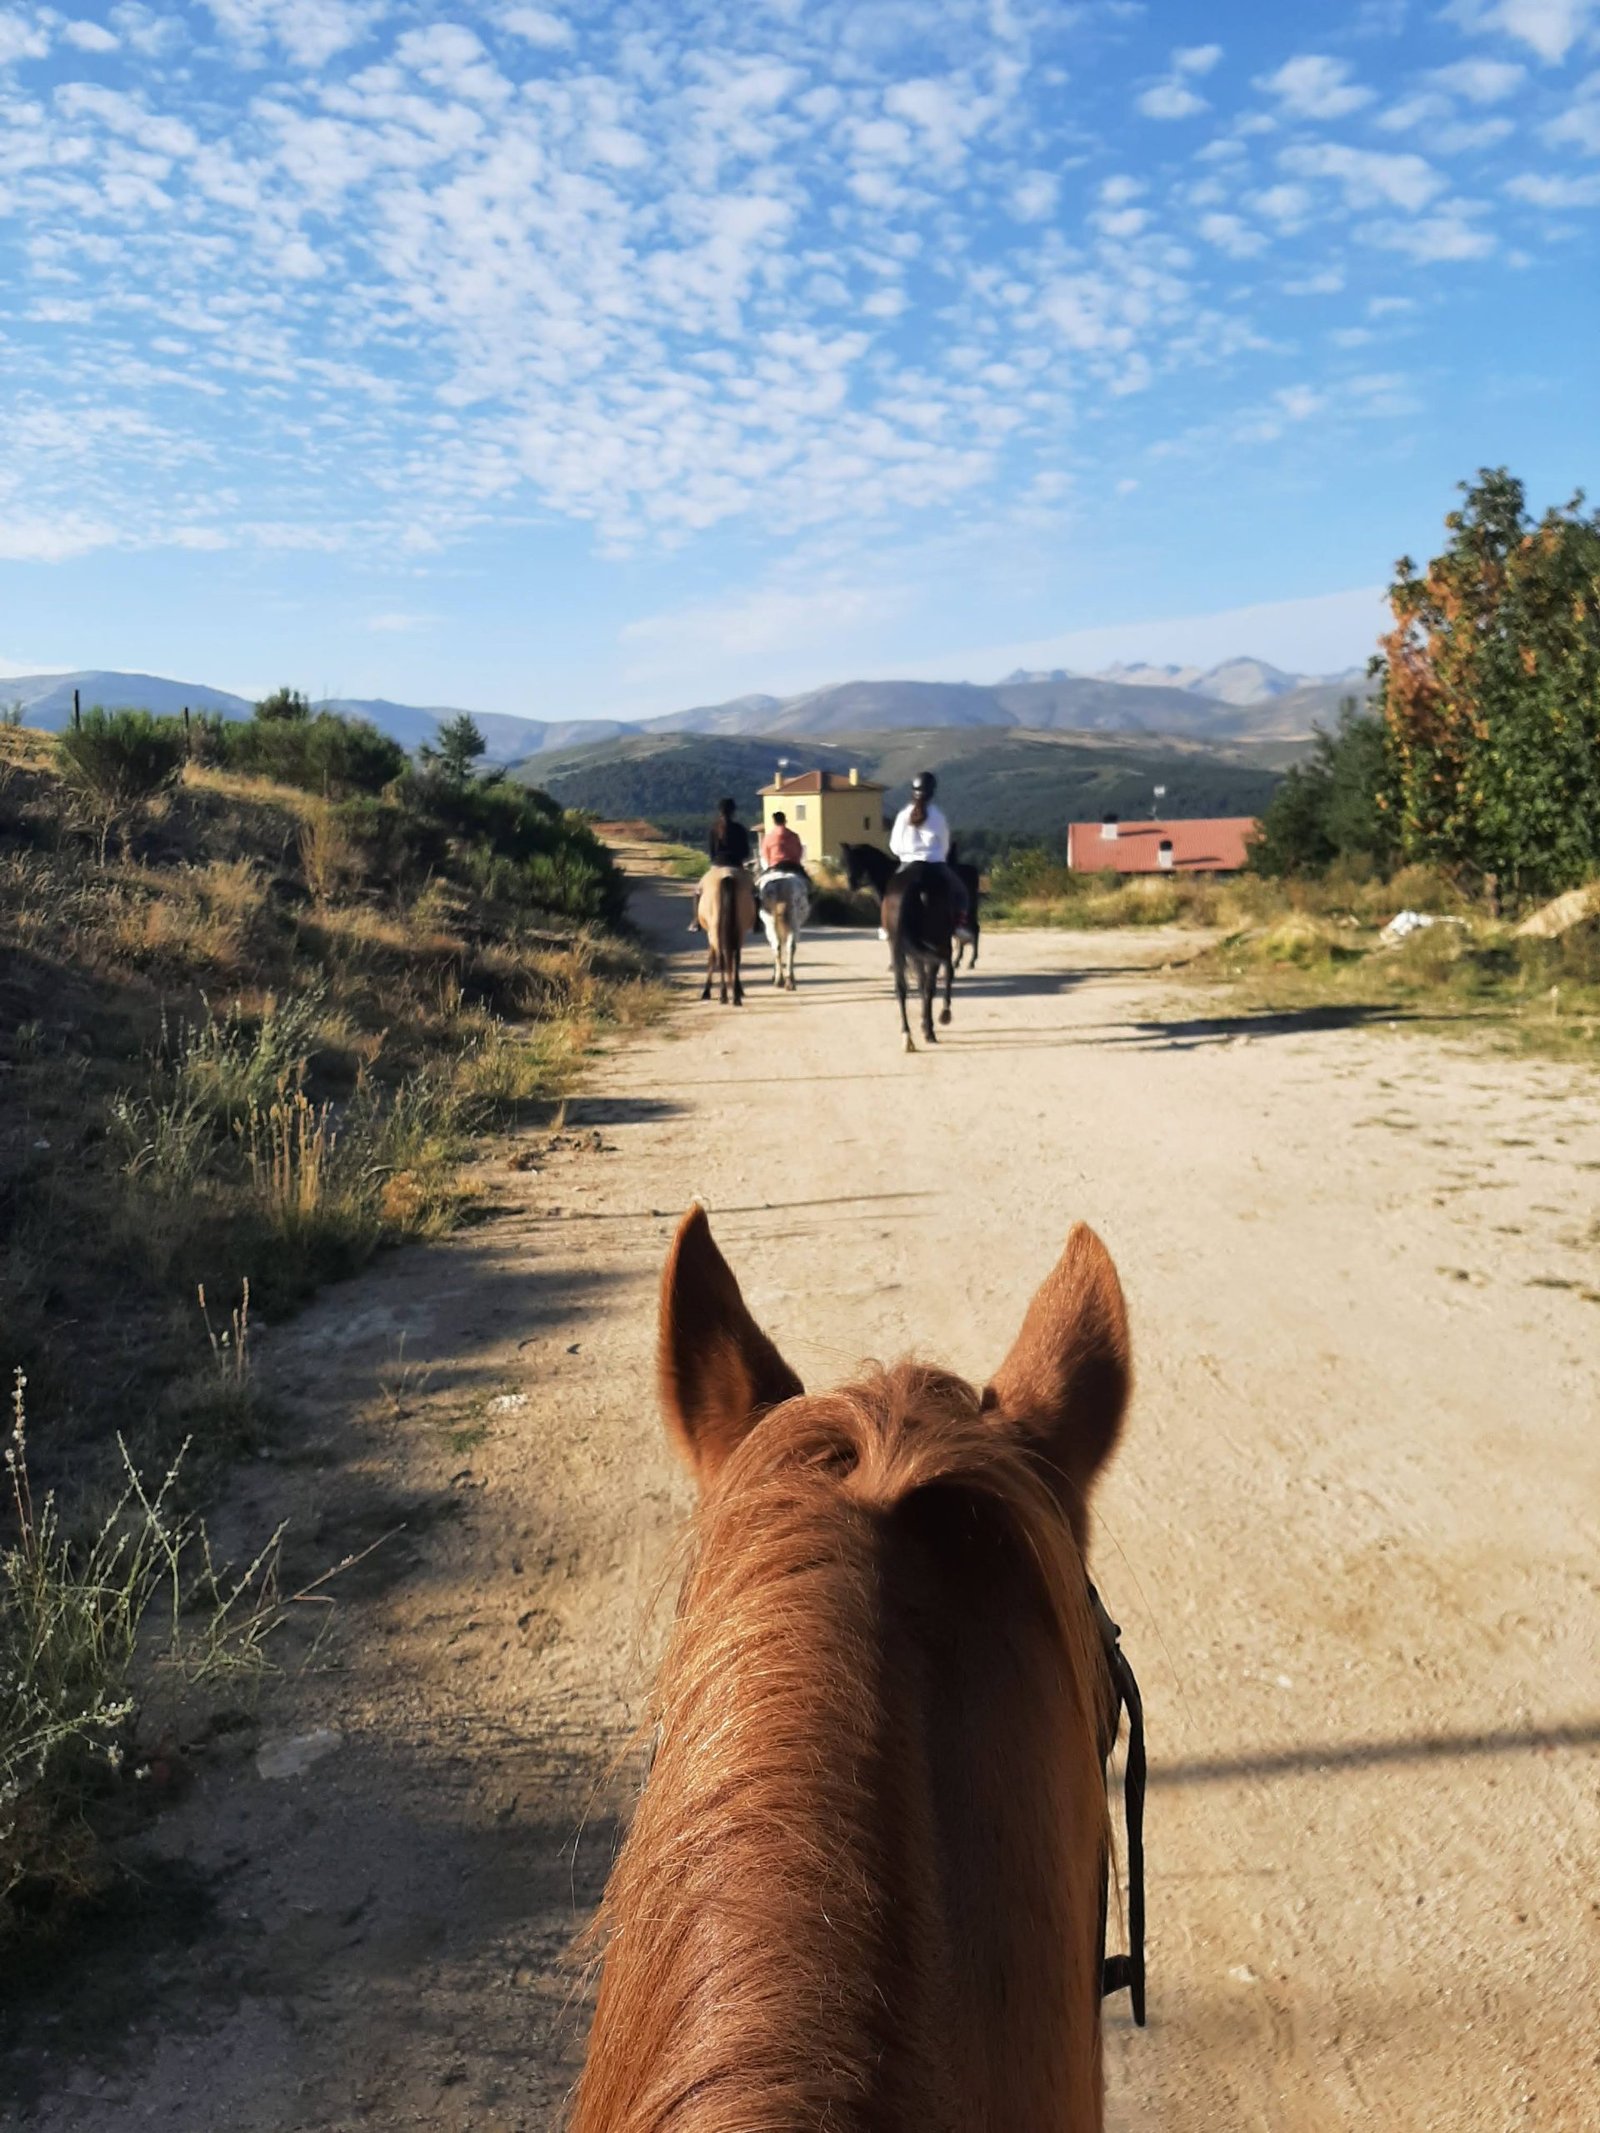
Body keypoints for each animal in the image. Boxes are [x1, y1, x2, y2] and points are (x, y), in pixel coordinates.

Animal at [696, 865, 755, 1006]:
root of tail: (727, 876)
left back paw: (723, 995)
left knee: (721, 958)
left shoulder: (710, 935)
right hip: (740, 930)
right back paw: (736, 996)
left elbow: (711, 958)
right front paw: (737, 989)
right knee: (736, 958)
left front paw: (706, 991)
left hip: (715, 930)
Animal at [841, 840, 981, 970]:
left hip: (968, 910)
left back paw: (971, 962)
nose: (851, 884)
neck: (887, 875)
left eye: (856, 860)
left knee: (974, 930)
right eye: (846, 862)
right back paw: (957, 961)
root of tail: (973, 870)